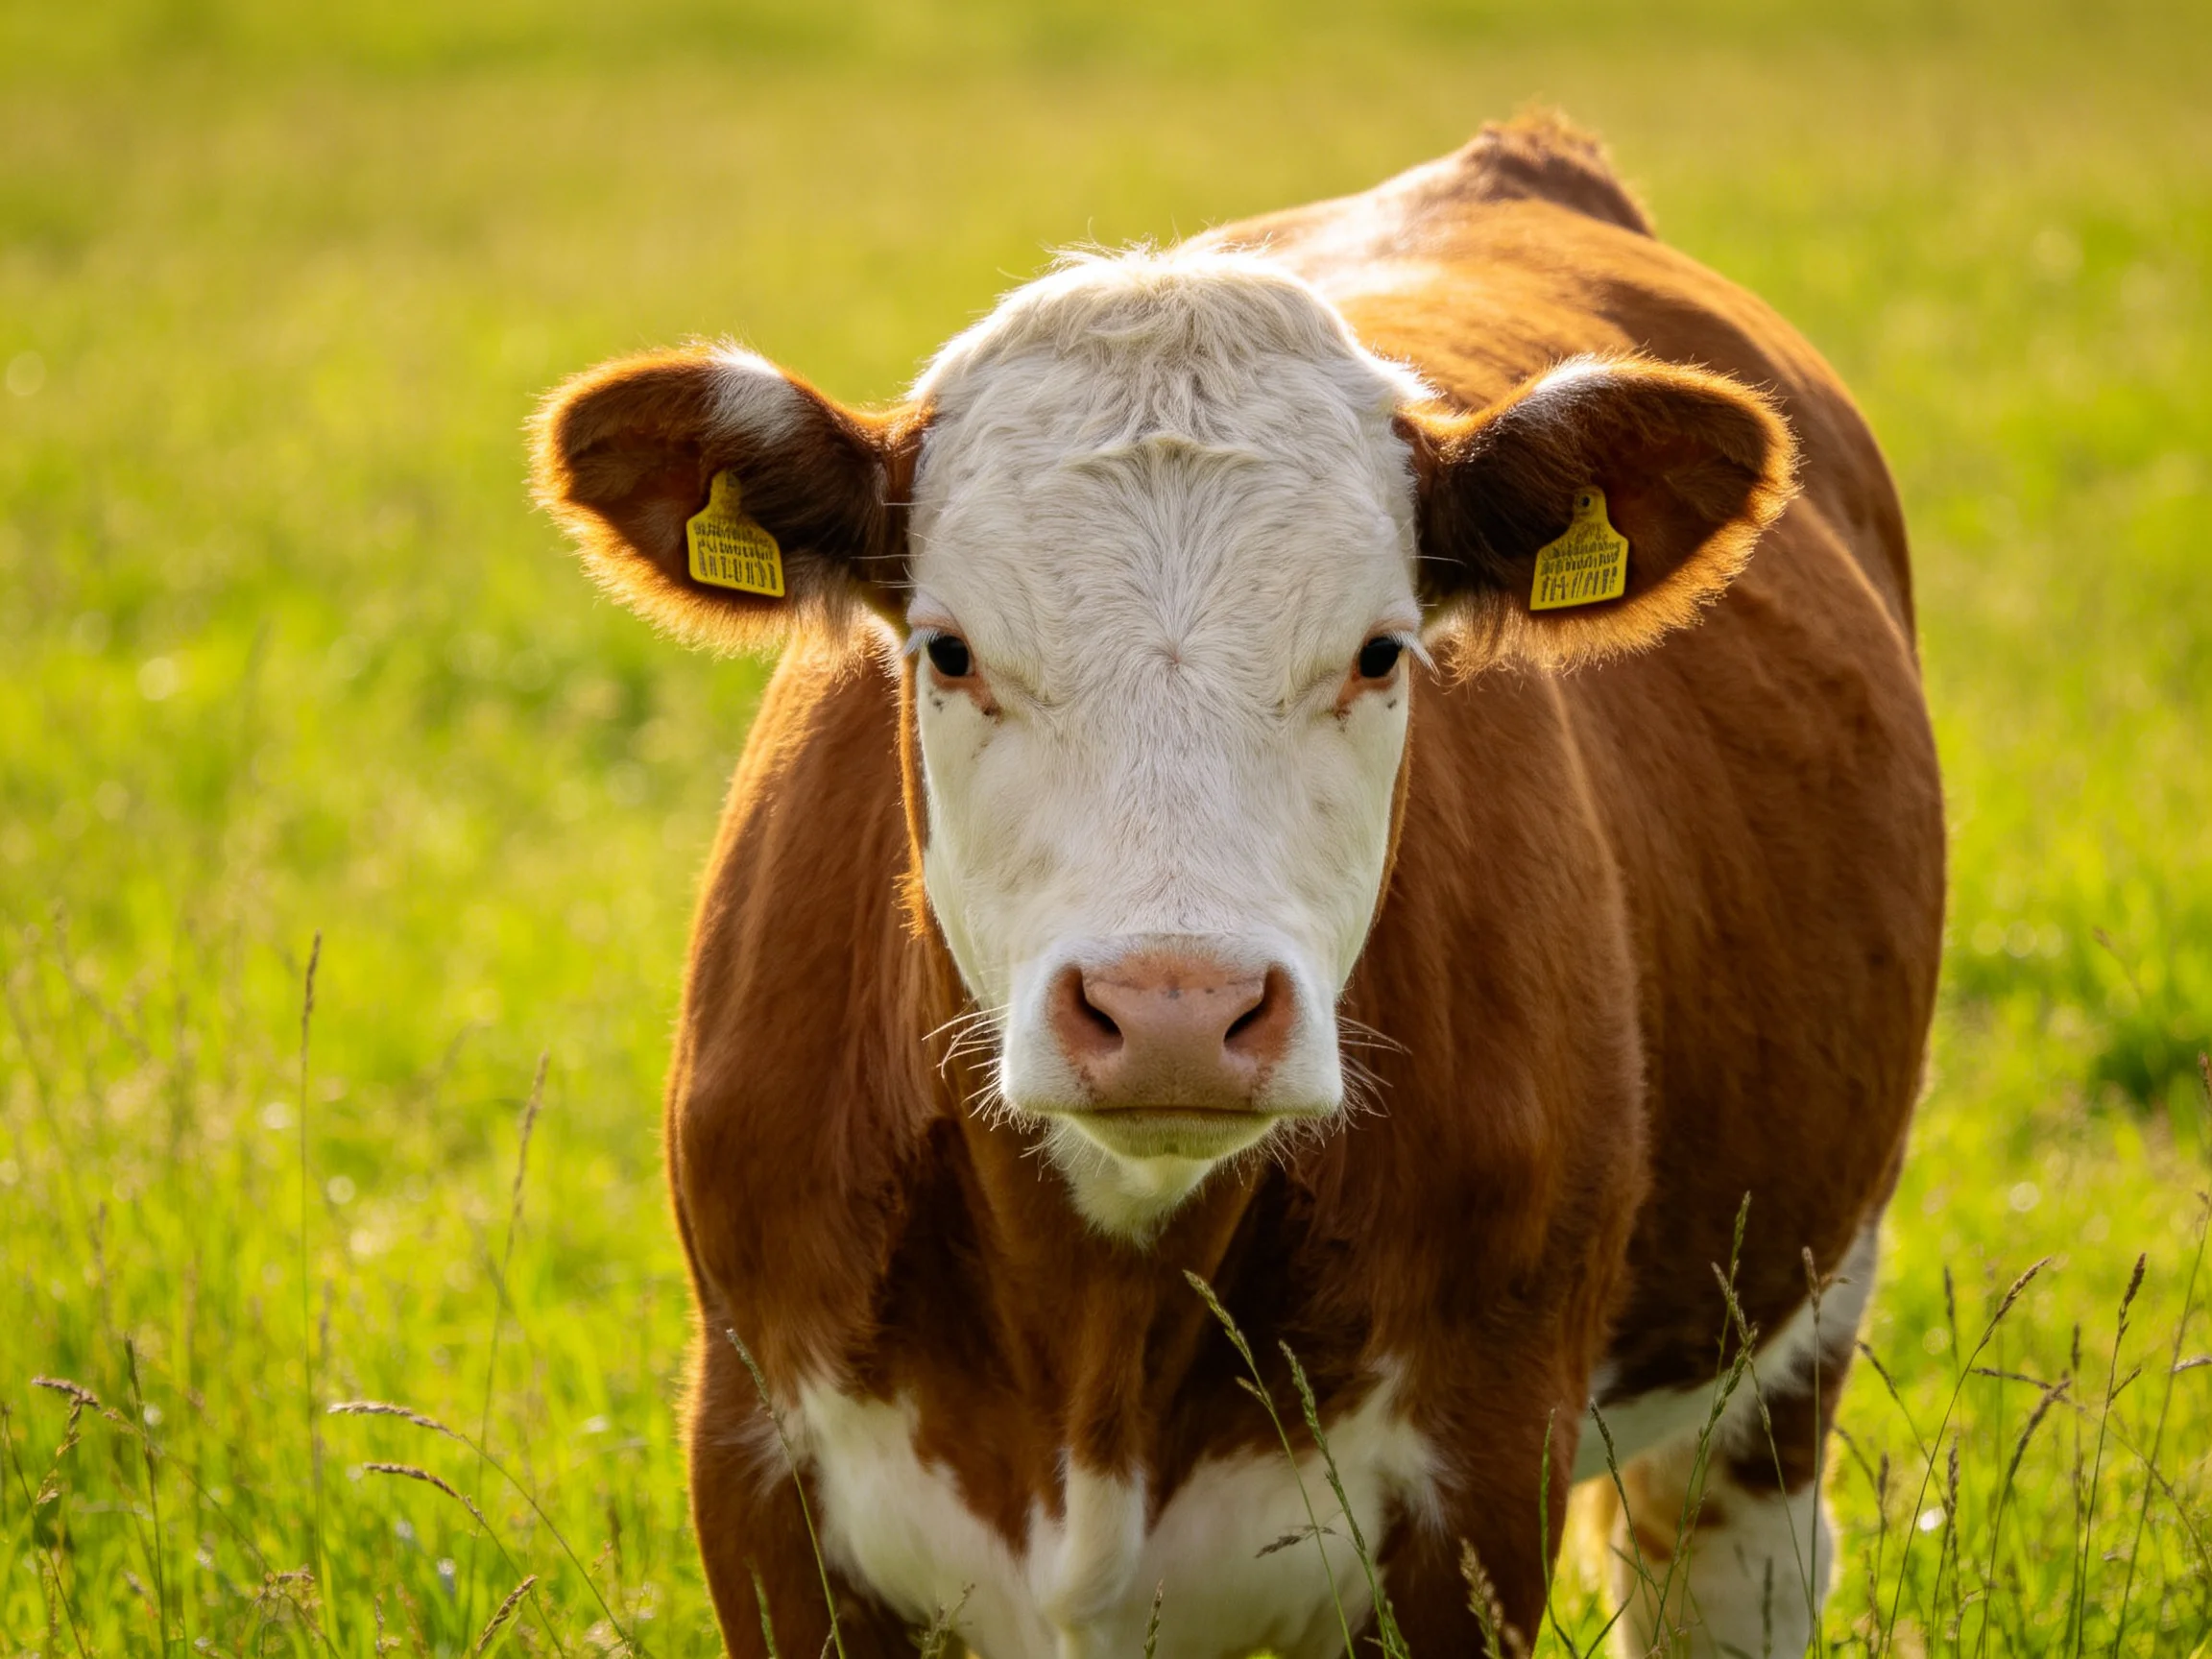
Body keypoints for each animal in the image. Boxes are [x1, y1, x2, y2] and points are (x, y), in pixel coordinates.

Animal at [531, 114, 1944, 1659]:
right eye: (948, 650)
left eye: (1382, 651)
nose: (1172, 1012)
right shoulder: (760, 1464)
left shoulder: (1477, 1482)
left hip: (1797, 1326)